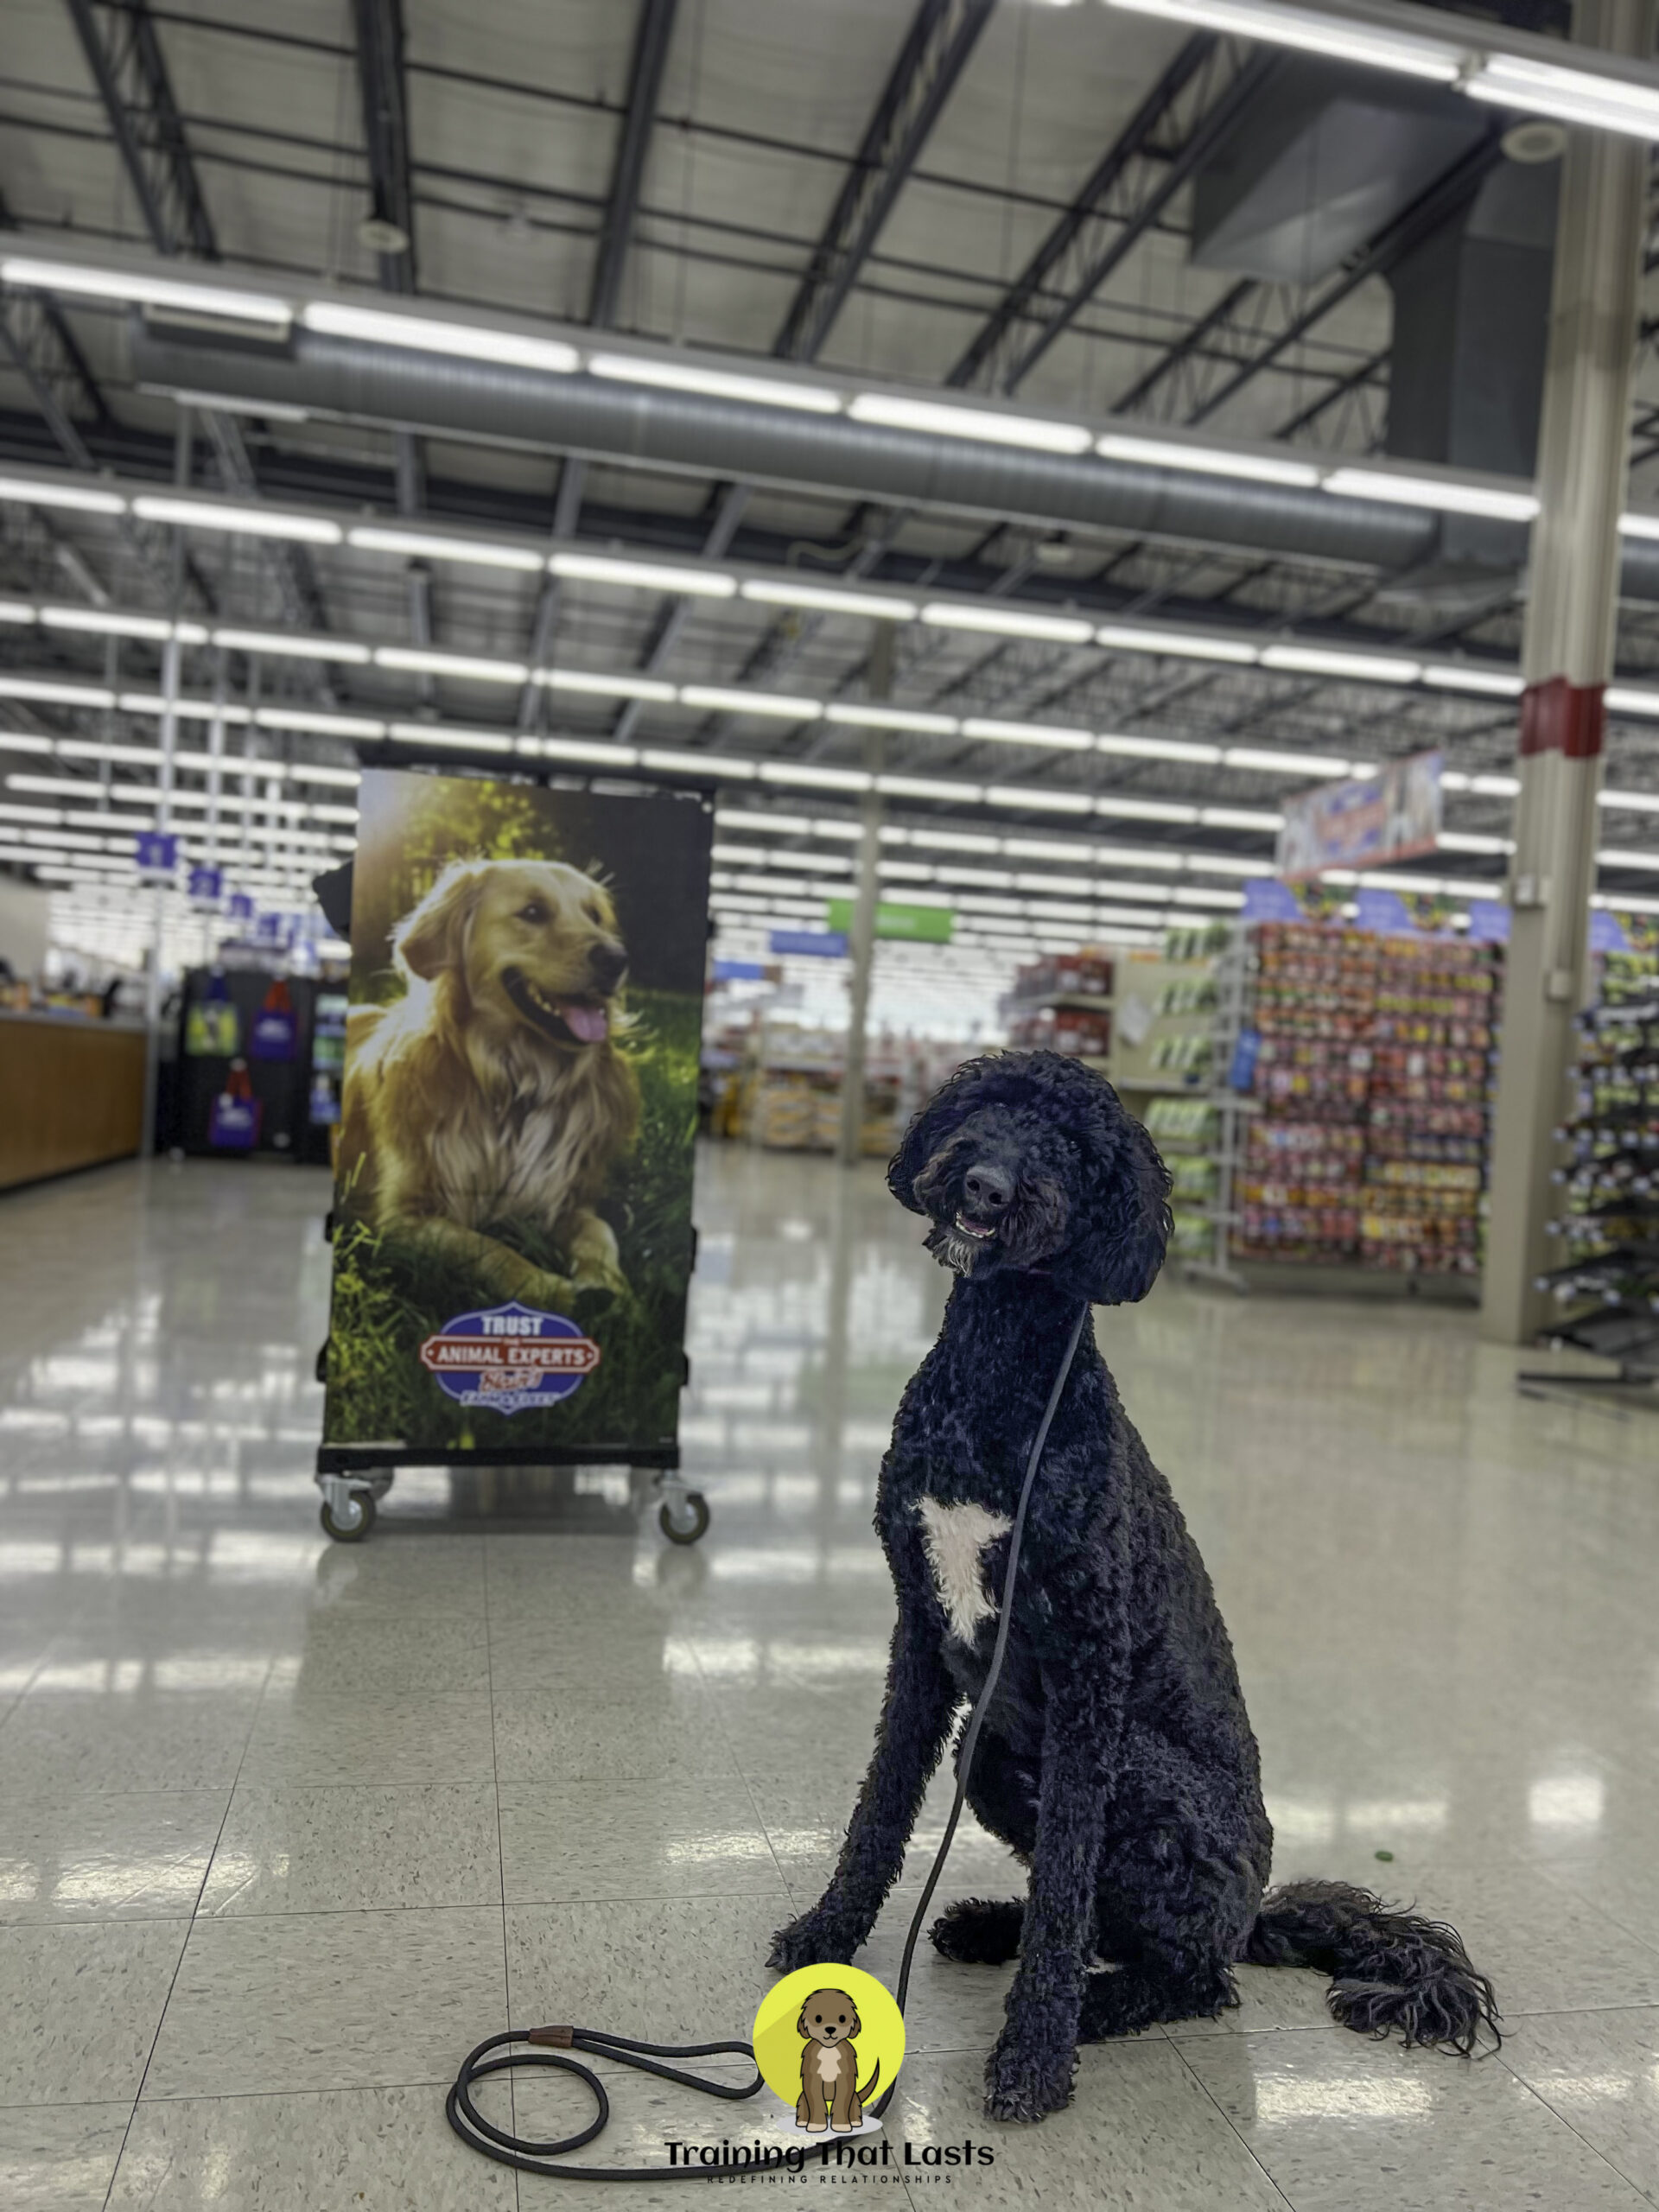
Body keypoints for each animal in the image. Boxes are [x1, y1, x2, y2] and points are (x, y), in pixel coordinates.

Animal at [774, 1052, 1503, 2123]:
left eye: (1079, 1150)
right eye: (991, 1104)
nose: (987, 1185)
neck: (998, 1375)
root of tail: (1254, 1912)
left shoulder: (1090, 1675)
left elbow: (1065, 1879)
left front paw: (1033, 2059)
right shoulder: (919, 1630)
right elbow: (881, 1804)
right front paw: (825, 1933)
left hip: (1144, 1783)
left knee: (1187, 1971)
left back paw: (1097, 2006)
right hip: (993, 1750)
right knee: (1095, 1914)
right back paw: (992, 1924)